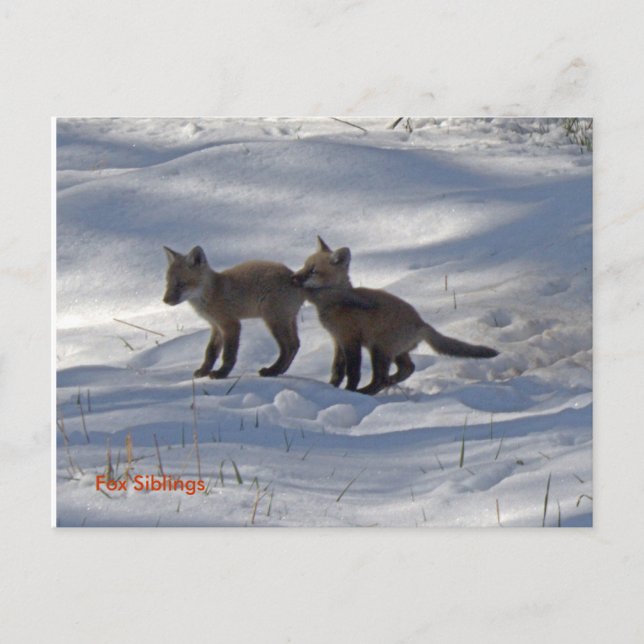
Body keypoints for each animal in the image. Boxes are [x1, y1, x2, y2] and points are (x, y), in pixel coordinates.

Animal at [163, 246, 305, 379]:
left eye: (181, 284)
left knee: (289, 347)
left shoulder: (230, 324)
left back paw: (272, 370)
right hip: (287, 320)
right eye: (168, 283)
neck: (212, 292)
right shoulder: (216, 326)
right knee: (296, 344)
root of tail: (293, 276)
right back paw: (280, 371)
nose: (165, 300)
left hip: (274, 321)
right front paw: (204, 371)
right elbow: (210, 352)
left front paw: (221, 373)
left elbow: (228, 354)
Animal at [292, 236, 498, 395]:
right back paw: (389, 383)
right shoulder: (338, 340)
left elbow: (353, 372)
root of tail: (421, 323)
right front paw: (330, 388)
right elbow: (337, 371)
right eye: (304, 266)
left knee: (380, 378)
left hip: (379, 350)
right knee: (408, 368)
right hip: (396, 352)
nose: (293, 278)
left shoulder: (351, 341)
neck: (336, 302)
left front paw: (349, 392)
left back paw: (366, 392)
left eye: (313, 271)